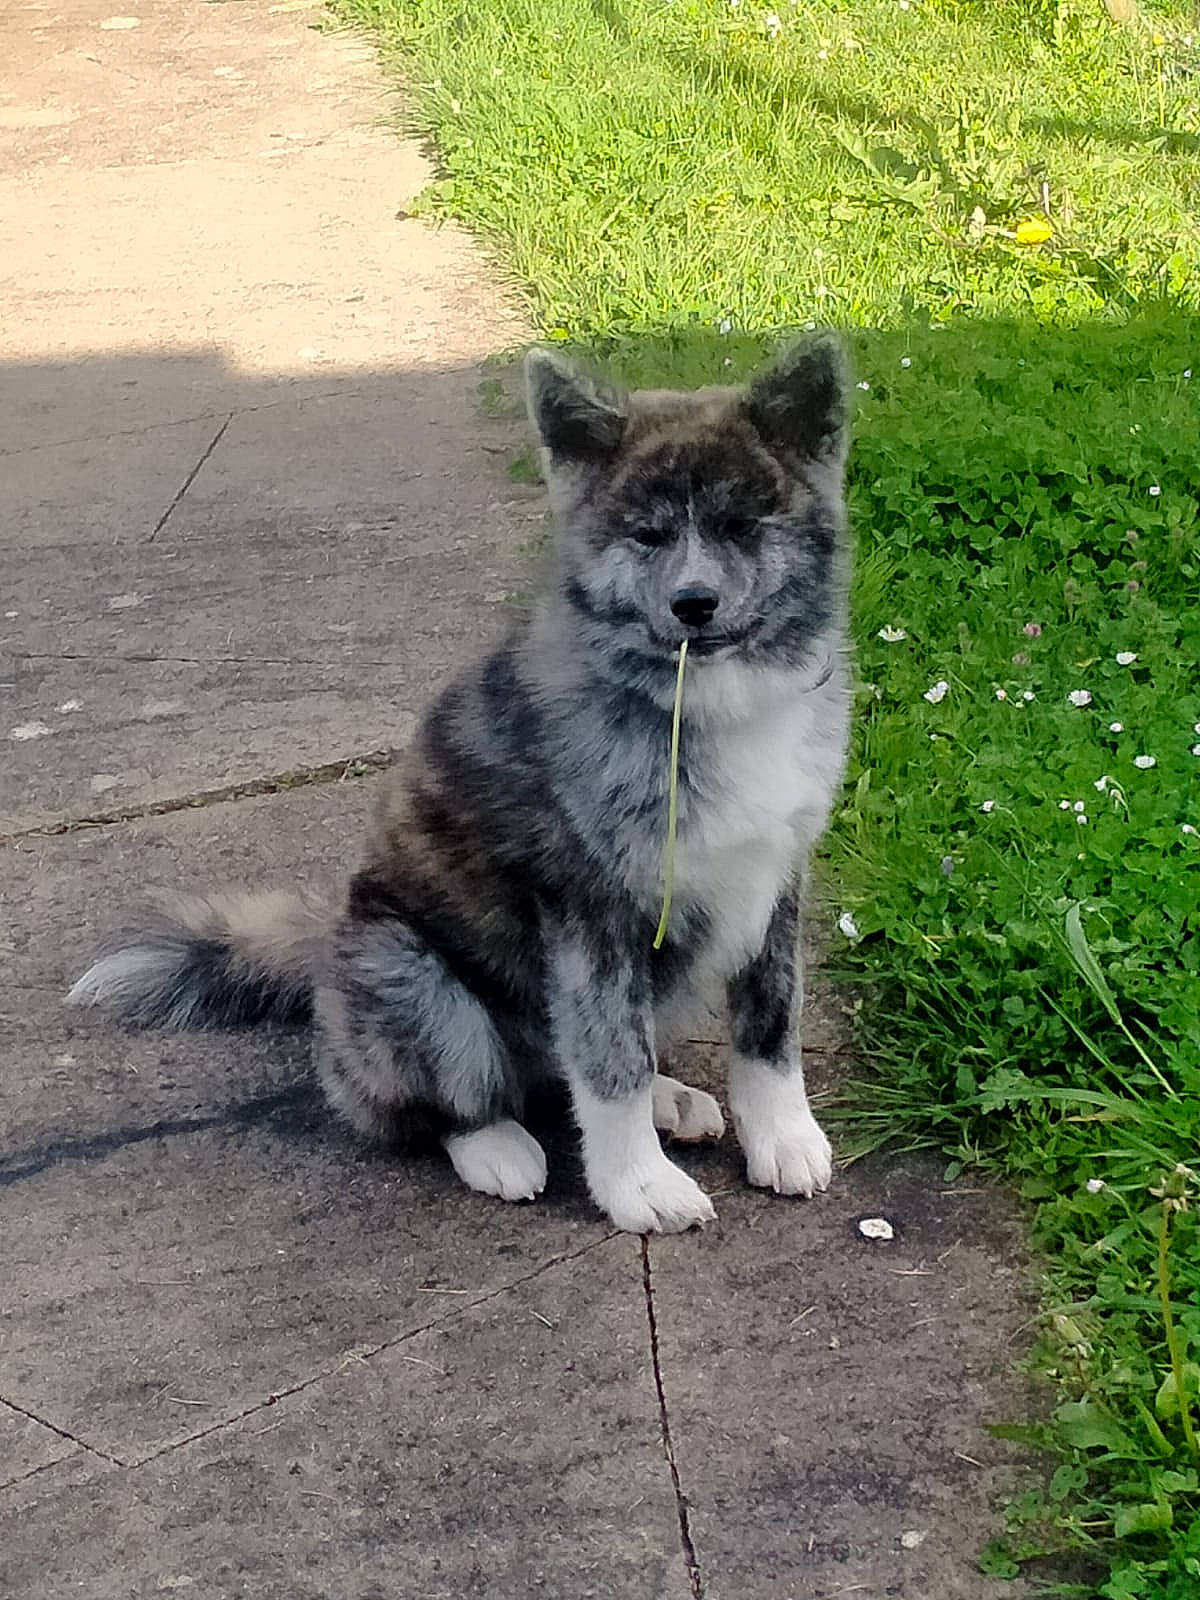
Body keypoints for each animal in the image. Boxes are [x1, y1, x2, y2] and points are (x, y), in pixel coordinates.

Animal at [68, 335, 854, 1234]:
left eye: (741, 525)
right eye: (647, 535)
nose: (695, 604)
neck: (704, 700)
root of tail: (323, 954)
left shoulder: (773, 878)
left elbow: (768, 1028)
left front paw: (782, 1138)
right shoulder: (588, 912)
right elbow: (607, 1061)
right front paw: (638, 1187)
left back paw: (668, 1098)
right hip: (412, 978)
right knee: (434, 1102)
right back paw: (496, 1147)